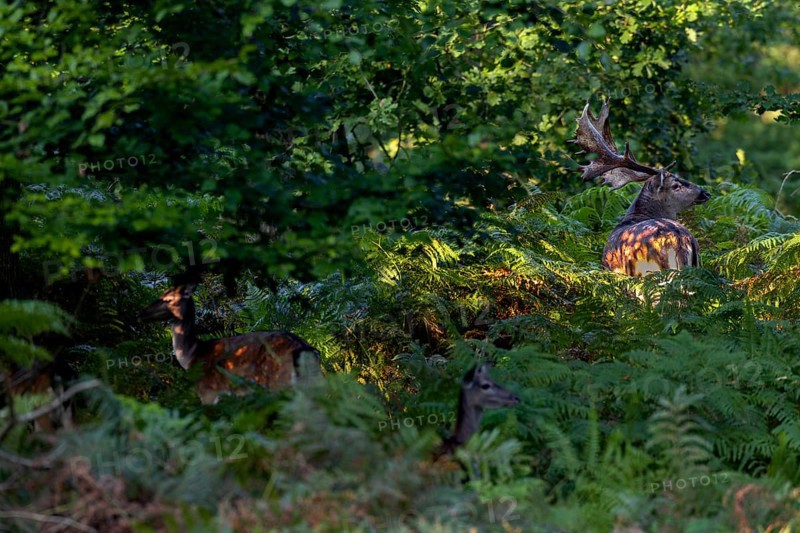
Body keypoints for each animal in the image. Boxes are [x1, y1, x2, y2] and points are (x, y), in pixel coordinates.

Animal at [138, 284, 321, 404]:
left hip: (280, 381)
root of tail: (304, 349)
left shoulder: (207, 389)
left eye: (168, 299)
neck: (192, 355)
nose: (142, 312)